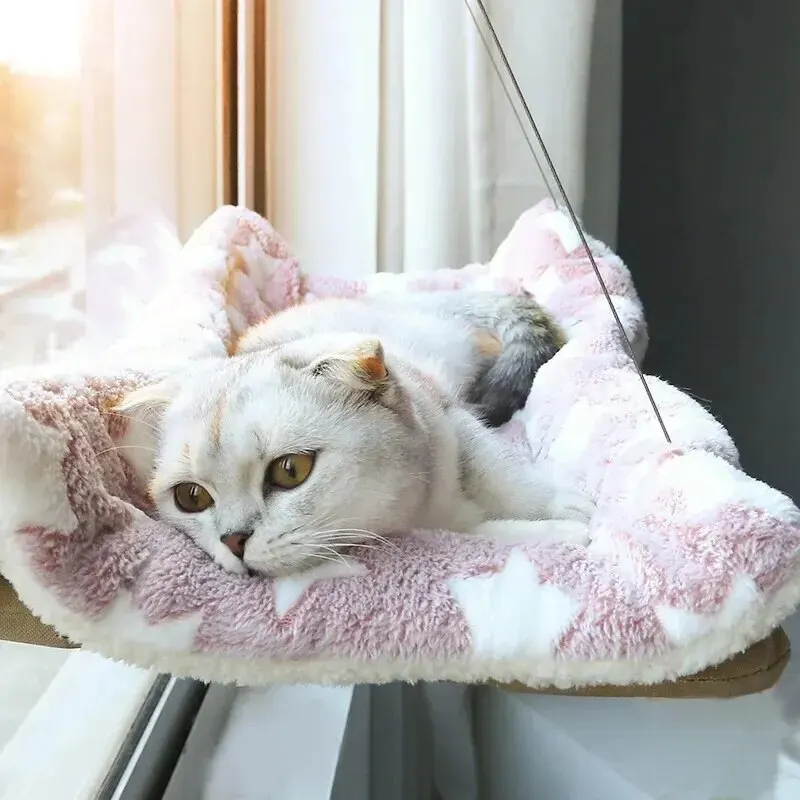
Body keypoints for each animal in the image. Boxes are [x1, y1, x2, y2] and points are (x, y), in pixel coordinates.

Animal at [117, 290, 592, 576]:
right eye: (191, 497)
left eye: (290, 470)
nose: (233, 541)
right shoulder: (445, 529)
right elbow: (489, 533)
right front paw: (560, 534)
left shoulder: (450, 416)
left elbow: (503, 478)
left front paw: (565, 509)